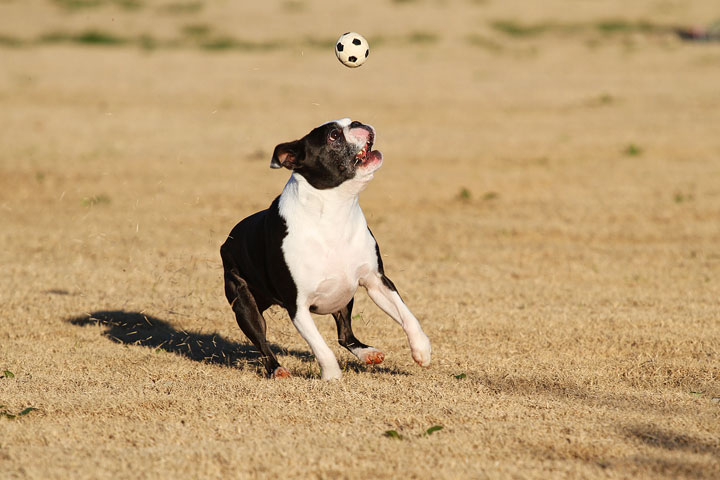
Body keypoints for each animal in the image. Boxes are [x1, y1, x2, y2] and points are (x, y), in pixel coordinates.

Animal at [219, 118, 430, 380]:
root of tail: (227, 241)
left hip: (344, 297)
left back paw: (367, 353)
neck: (335, 210)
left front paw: (422, 349)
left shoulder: (377, 281)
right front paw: (332, 377)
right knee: (262, 341)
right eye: (333, 135)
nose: (359, 123)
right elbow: (321, 347)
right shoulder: (298, 307)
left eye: (350, 121)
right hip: (244, 303)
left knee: (345, 335)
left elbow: (406, 314)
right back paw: (277, 369)